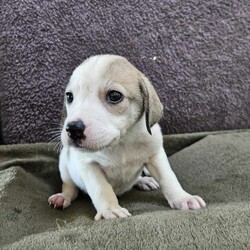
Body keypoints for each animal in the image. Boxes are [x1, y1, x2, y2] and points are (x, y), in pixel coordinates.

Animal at [47, 54, 206, 219]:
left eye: (114, 96)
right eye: (69, 96)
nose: (72, 129)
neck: (123, 142)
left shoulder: (155, 155)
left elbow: (168, 178)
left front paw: (183, 198)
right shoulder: (88, 165)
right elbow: (102, 189)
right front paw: (110, 210)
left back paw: (143, 181)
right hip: (64, 165)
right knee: (70, 186)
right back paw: (62, 197)